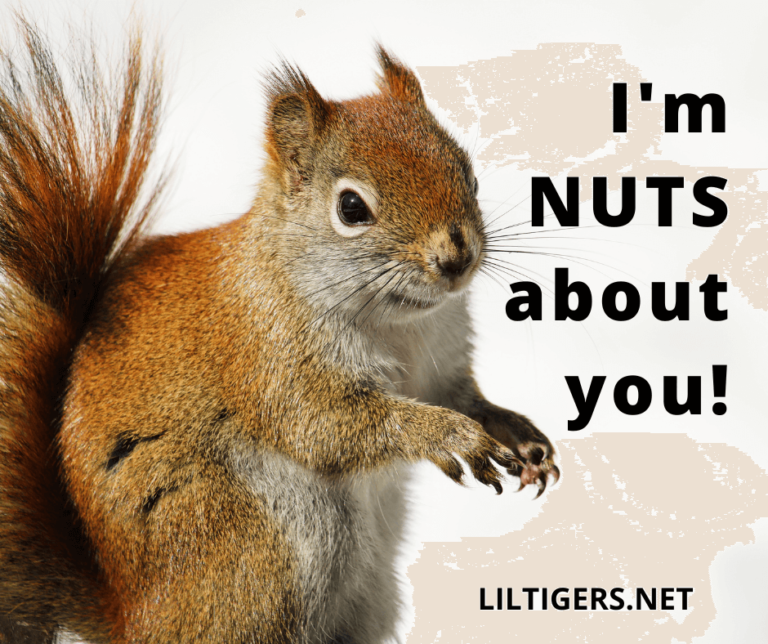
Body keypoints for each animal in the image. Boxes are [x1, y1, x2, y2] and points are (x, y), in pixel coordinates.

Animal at [0, 18, 558, 644]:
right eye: (351, 208)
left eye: (469, 173)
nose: (456, 258)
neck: (400, 323)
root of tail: (130, 617)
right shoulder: (267, 352)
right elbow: (326, 424)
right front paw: (449, 435)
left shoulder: (439, 363)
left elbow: (461, 397)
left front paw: (517, 435)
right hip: (255, 553)